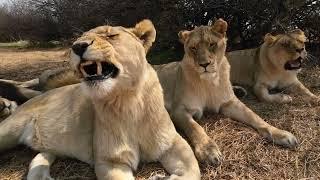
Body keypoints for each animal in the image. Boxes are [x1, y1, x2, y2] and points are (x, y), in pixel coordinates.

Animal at [0, 19, 200, 180]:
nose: (78, 46)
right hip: (9, 129)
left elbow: (193, 171)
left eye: (111, 35)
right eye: (78, 39)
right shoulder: (109, 161)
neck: (129, 100)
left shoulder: (173, 142)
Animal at [154, 18, 298, 166]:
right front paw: (209, 151)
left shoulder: (230, 103)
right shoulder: (179, 110)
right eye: (193, 48)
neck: (210, 81)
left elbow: (255, 117)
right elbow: (195, 127)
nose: (204, 65)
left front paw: (280, 133)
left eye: (212, 44)